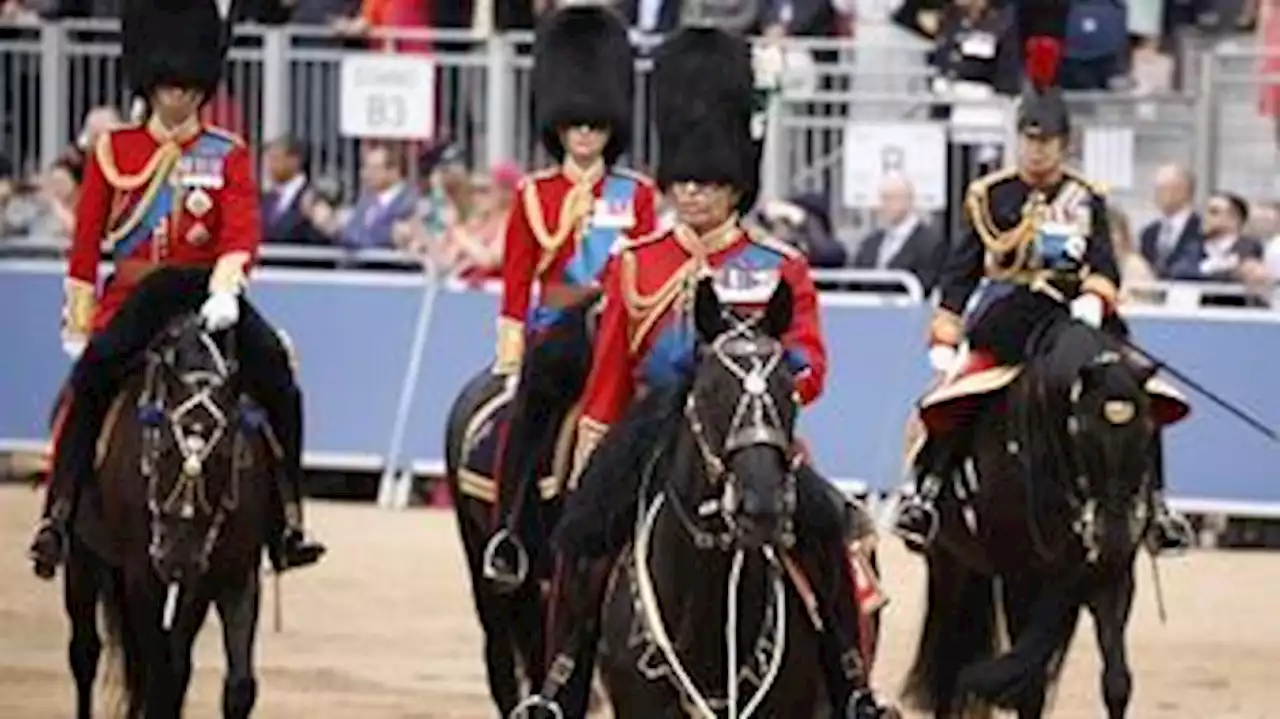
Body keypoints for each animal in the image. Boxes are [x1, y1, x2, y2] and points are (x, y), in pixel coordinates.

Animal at [67, 313, 272, 716]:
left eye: (224, 455)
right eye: (161, 449)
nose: (177, 557)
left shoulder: (229, 575)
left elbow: (233, 685)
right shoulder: (142, 575)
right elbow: (161, 674)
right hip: (83, 559)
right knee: (85, 654)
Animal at [906, 318, 1167, 716]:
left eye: (1148, 431)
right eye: (1082, 433)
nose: (1112, 536)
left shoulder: (1110, 574)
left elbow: (1116, 681)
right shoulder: (1023, 577)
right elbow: (1029, 686)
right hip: (948, 564)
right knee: (947, 663)